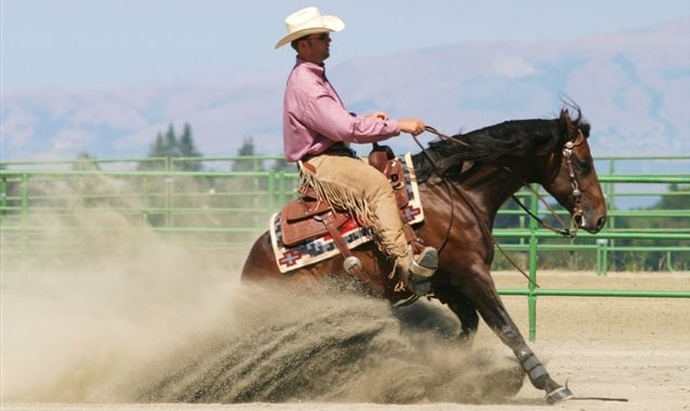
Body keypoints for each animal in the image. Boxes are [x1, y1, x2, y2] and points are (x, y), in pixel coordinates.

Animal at [241, 108, 600, 404]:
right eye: (583, 163)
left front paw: (449, 375)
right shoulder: (472, 273)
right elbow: (505, 327)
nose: (598, 217)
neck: (455, 193)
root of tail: (249, 270)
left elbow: (468, 329)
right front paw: (550, 385)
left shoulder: (448, 284)